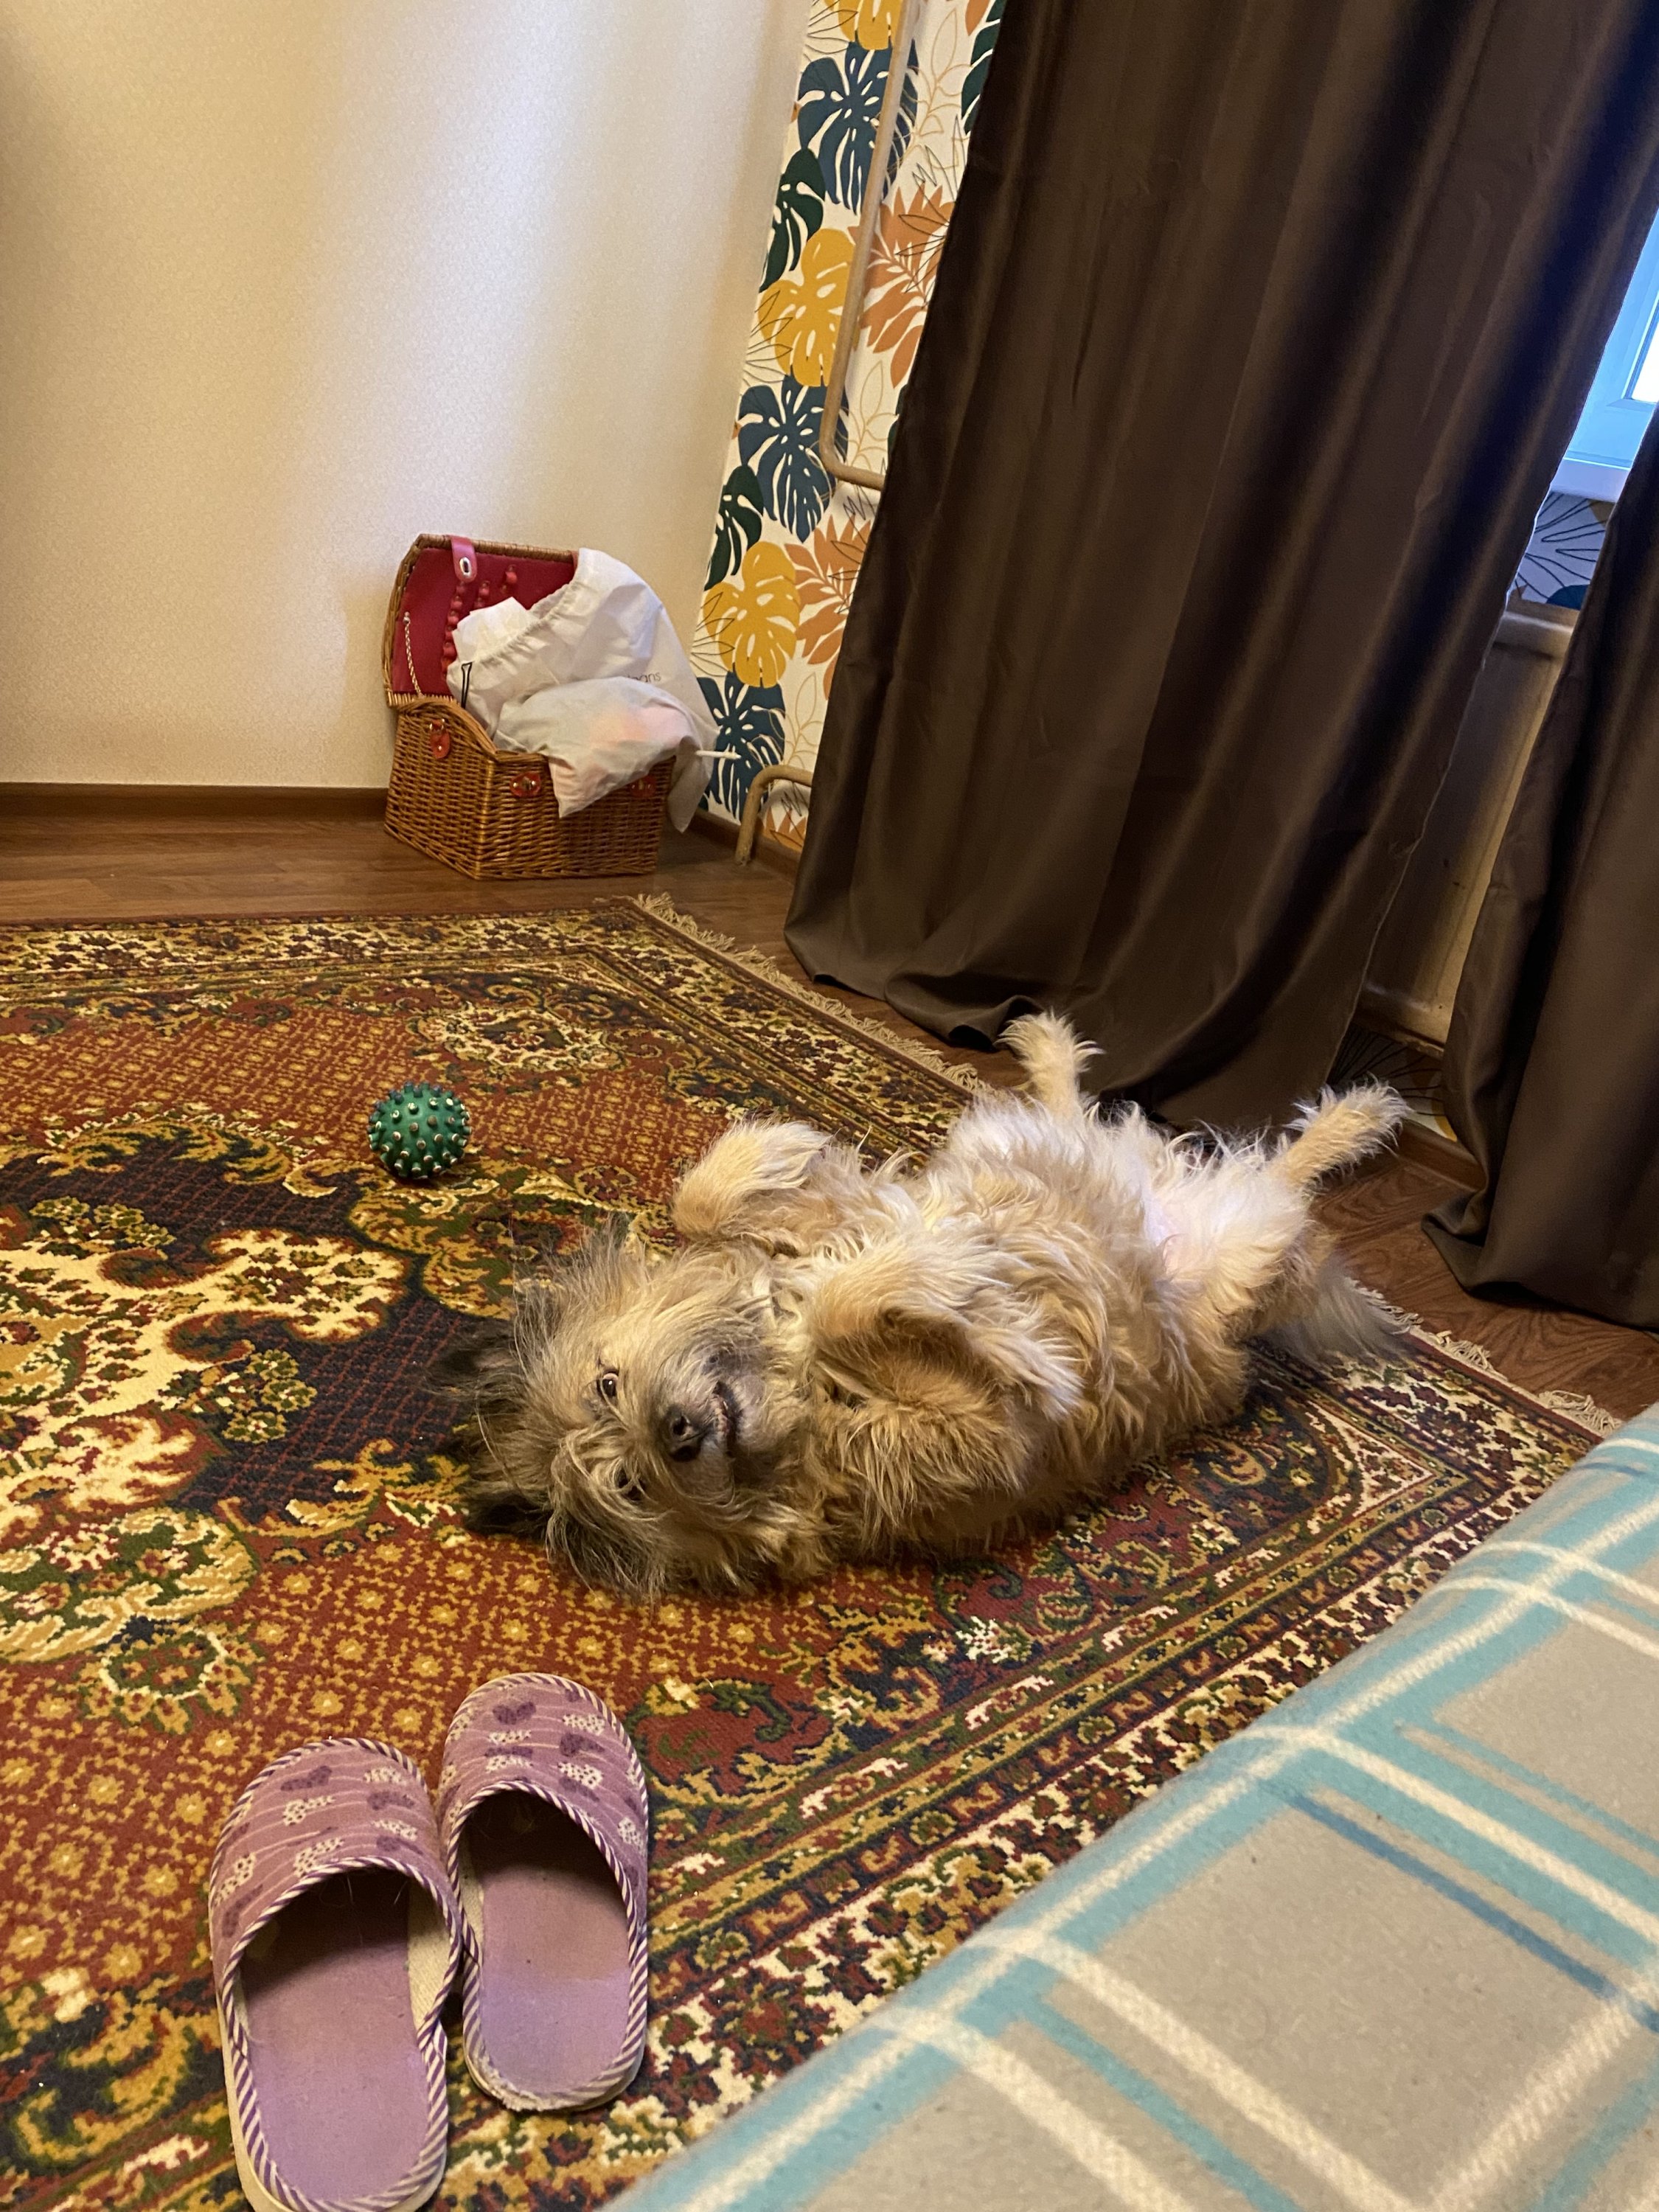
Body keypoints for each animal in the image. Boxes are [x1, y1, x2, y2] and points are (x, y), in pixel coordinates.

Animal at [433, 1015, 1404, 1597]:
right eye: (632, 1485)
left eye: (608, 1383)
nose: (676, 1434)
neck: (796, 1389)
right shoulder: (979, 1441)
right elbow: (869, 1303)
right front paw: (984, 1315)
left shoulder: (837, 1217)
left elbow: (707, 1201)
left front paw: (774, 1151)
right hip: (1261, 1264)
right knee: (1284, 1180)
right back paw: (1358, 1118)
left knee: (1093, 1118)